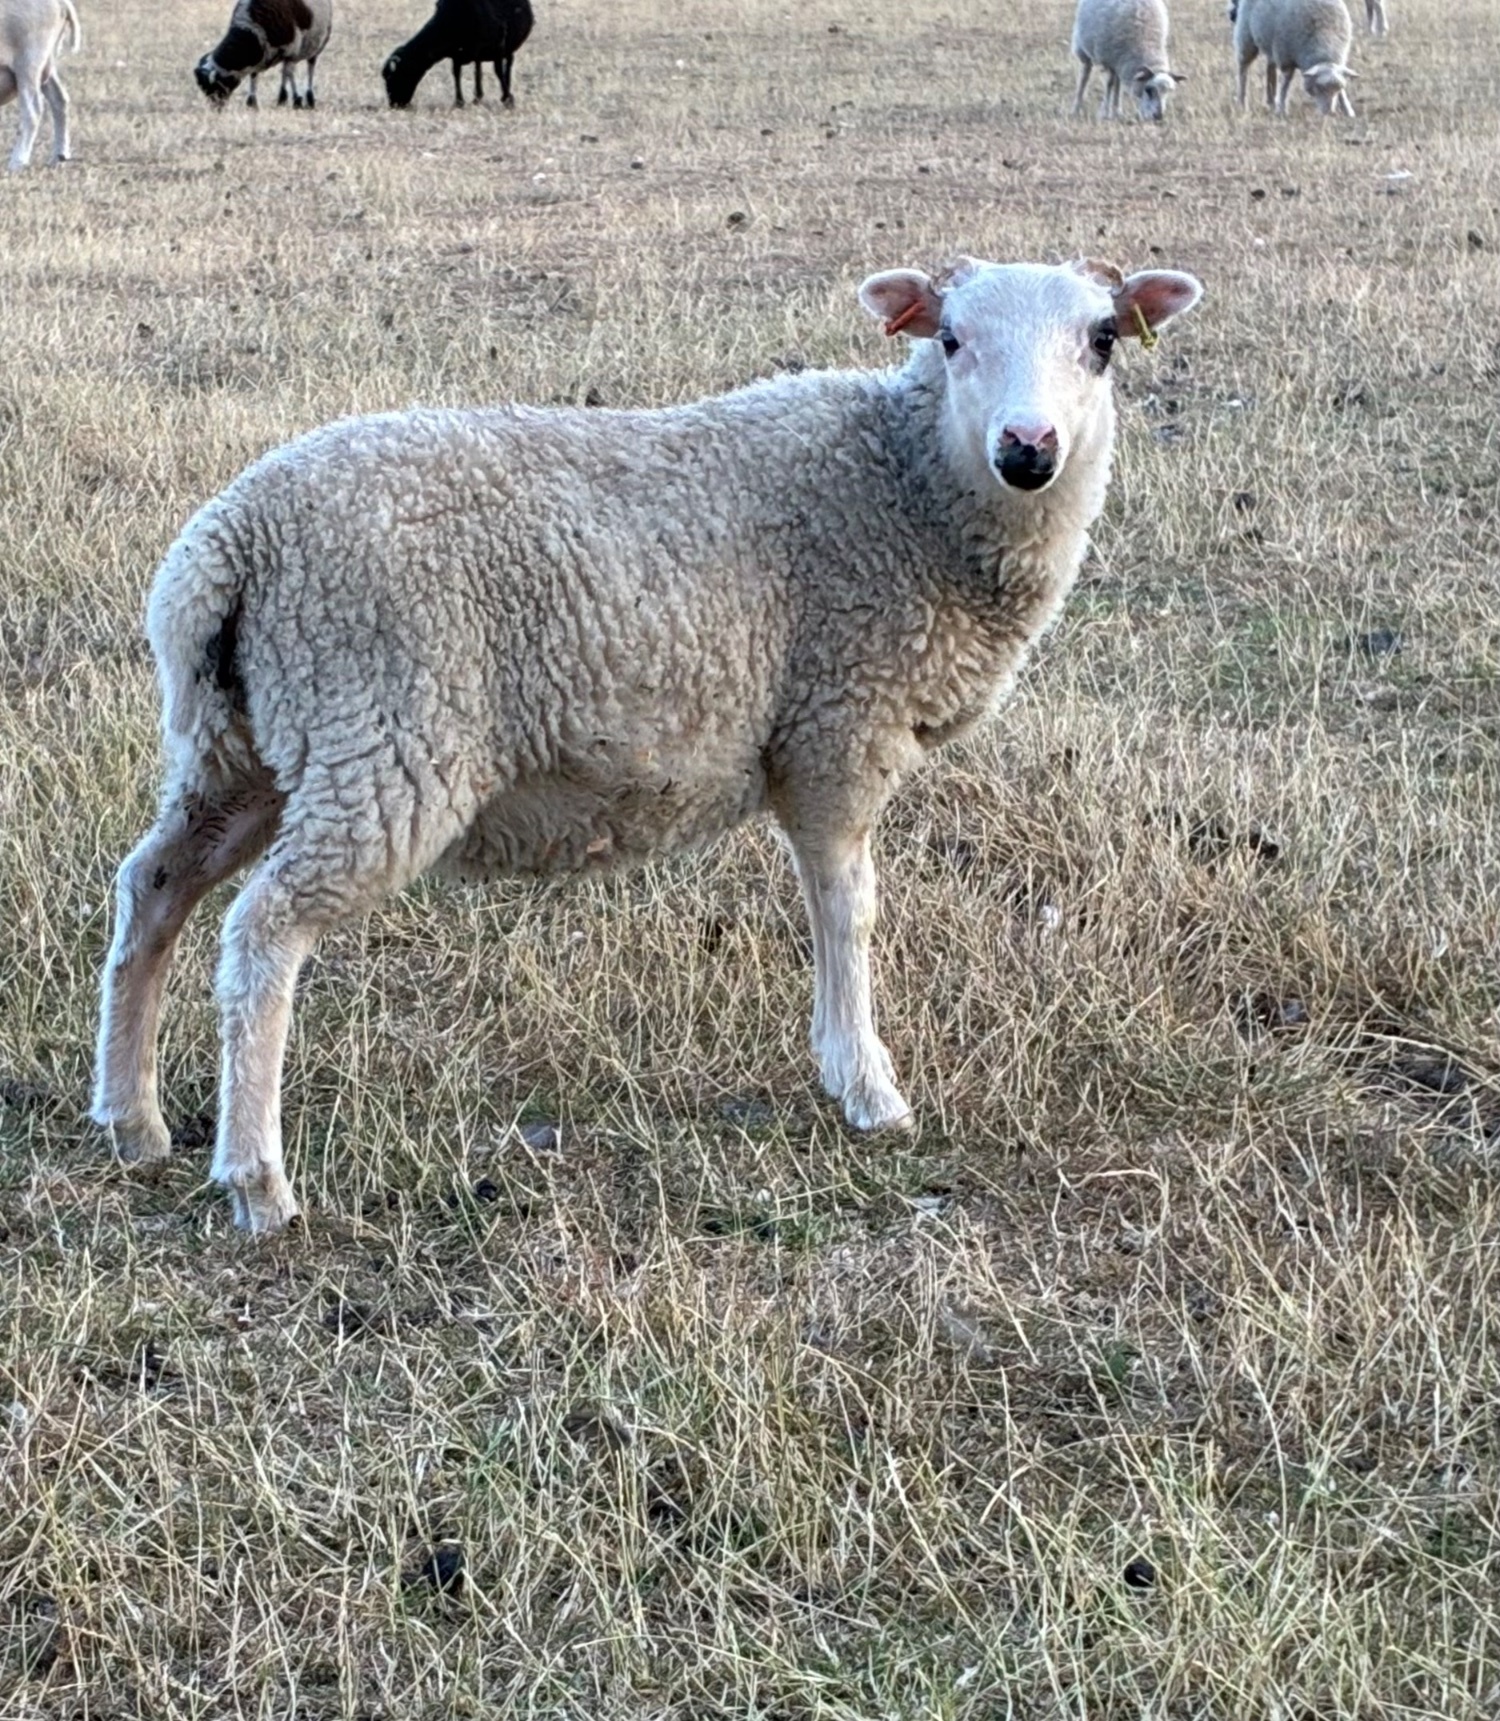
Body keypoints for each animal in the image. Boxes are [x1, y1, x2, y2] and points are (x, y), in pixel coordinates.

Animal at [0, 0, 79, 172]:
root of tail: (61, 3)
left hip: (29, 62)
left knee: (33, 111)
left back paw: (18, 161)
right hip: (46, 63)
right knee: (60, 99)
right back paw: (59, 155)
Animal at [91, 254, 1203, 1235]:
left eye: (1103, 340)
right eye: (954, 338)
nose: (1029, 447)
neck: (907, 485)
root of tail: (231, 542)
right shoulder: (838, 726)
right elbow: (849, 911)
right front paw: (867, 1085)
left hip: (248, 743)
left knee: (155, 885)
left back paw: (131, 1116)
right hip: (386, 732)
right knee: (263, 931)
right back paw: (257, 1180)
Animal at [195, 0, 333, 110]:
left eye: (216, 86)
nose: (216, 108)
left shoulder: (292, 50)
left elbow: (290, 74)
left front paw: (297, 101)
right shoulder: (260, 55)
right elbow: (254, 75)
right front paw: (252, 103)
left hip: (318, 43)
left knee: (309, 68)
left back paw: (309, 99)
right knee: (284, 72)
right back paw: (281, 99)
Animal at [382, 0, 534, 110]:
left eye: (395, 77)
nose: (394, 104)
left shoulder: (498, 44)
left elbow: (498, 71)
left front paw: (508, 99)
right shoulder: (457, 53)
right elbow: (456, 73)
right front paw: (459, 102)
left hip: (508, 47)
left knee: (507, 65)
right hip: (478, 52)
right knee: (478, 68)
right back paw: (477, 96)